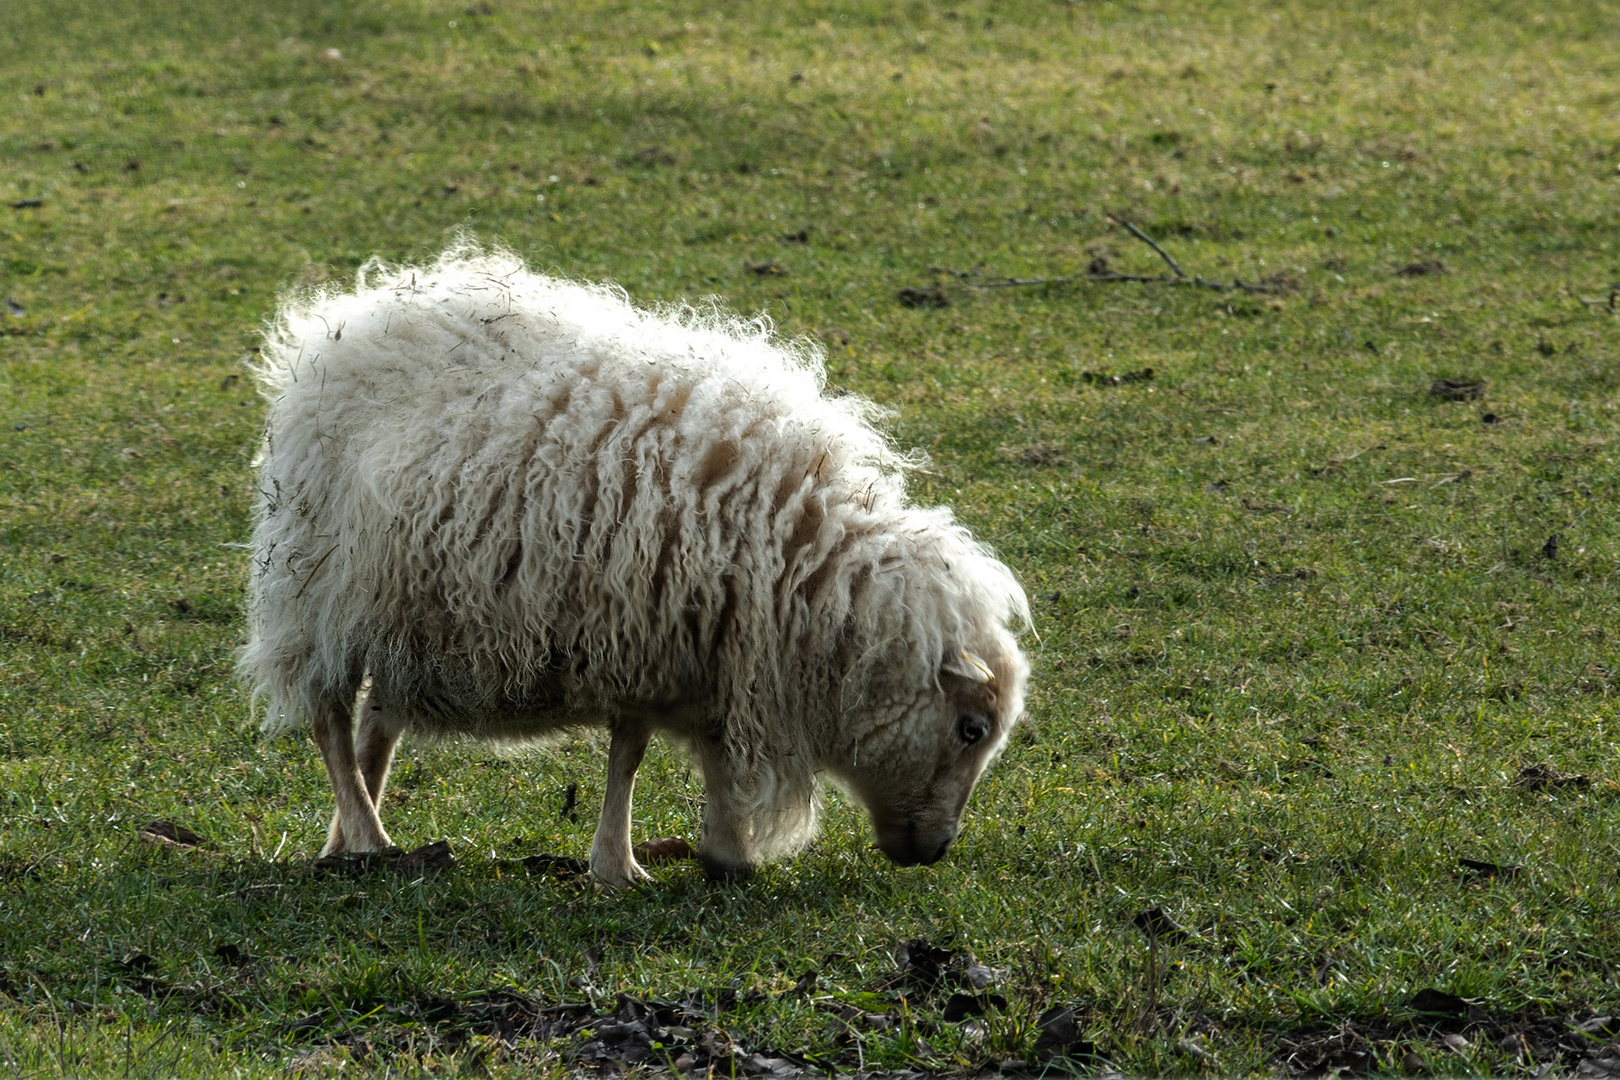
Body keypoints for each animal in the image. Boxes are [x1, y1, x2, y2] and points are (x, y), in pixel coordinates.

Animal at [239, 242, 1023, 887]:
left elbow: (689, 751)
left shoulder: (695, 651)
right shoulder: (646, 637)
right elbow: (632, 756)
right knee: (330, 719)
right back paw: (368, 839)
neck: (802, 569)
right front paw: (622, 866)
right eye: (971, 729)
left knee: (376, 722)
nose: (938, 850)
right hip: (314, 587)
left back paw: (346, 840)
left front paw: (723, 854)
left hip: (398, 609)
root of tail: (346, 319)